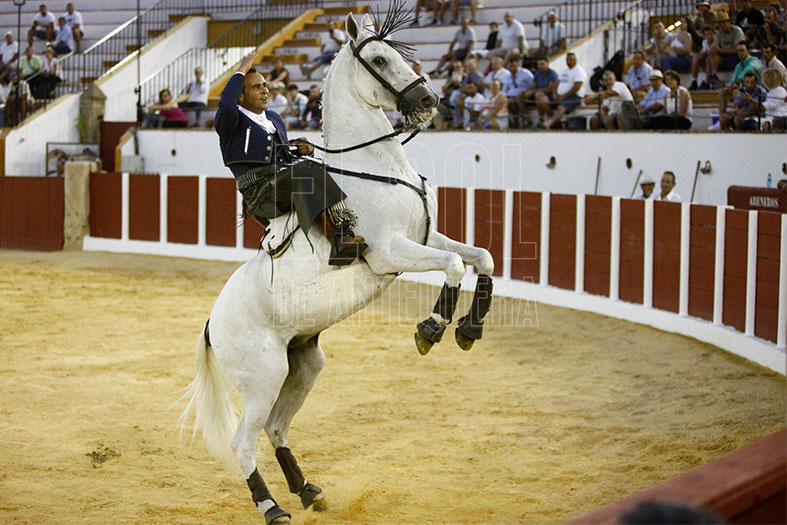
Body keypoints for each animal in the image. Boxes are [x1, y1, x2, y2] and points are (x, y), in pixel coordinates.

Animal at [178, 8, 494, 523]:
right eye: (380, 59)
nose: (428, 99)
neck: (379, 168)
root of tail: (211, 324)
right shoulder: (390, 252)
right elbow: (452, 266)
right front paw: (431, 329)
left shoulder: (424, 237)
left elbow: (479, 257)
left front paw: (470, 329)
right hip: (262, 378)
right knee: (244, 441)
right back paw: (272, 506)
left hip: (303, 365)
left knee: (277, 428)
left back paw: (308, 491)